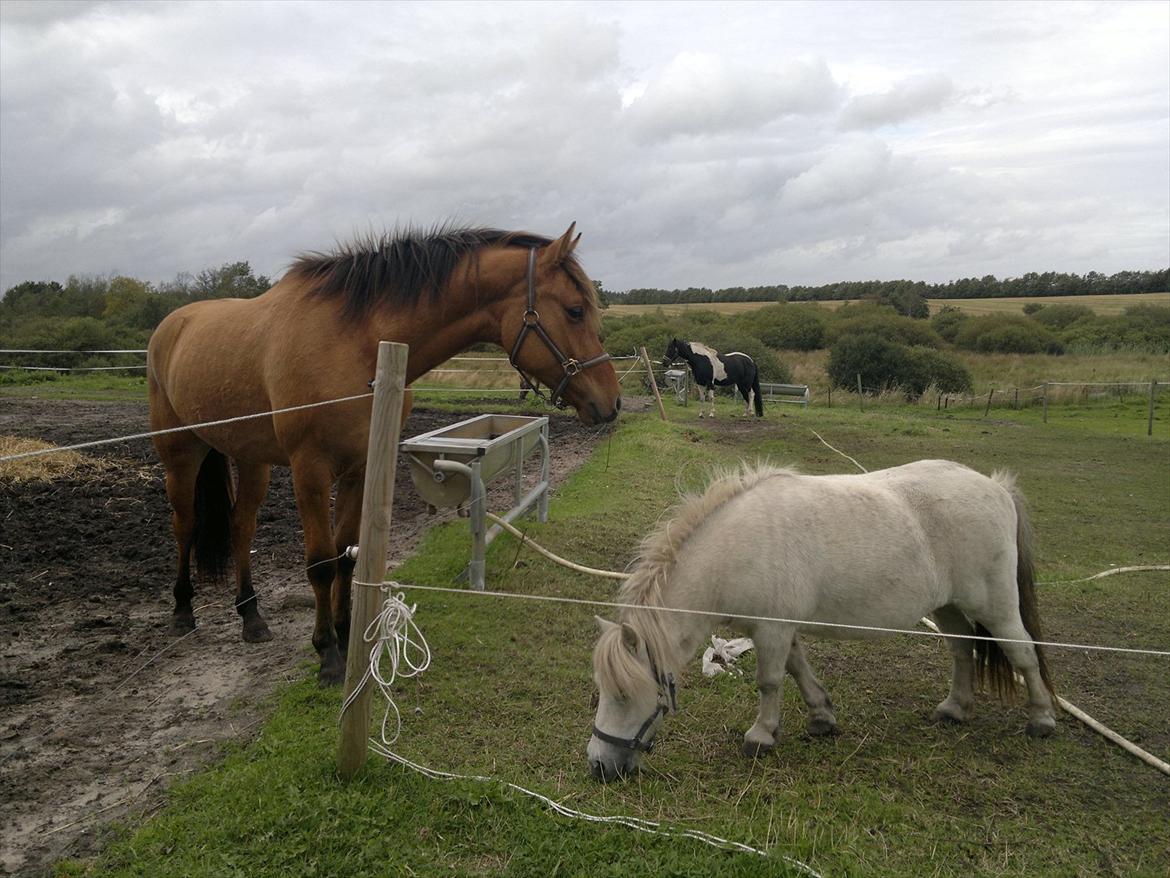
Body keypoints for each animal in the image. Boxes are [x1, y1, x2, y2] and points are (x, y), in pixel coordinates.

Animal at [148, 224, 621, 685]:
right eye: (575, 310)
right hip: (181, 453)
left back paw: (251, 616)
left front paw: (346, 635)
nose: (611, 402)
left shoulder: (359, 467)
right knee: (184, 525)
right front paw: (328, 655)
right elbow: (321, 563)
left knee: (241, 527)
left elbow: (346, 554)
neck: (357, 343)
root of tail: (173, 324)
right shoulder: (310, 469)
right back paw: (182, 611)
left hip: (252, 459)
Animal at [588, 460, 1057, 781]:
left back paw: (1042, 720)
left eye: (625, 695)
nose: (599, 766)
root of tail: (996, 486)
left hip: (995, 607)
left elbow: (770, 682)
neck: (737, 550)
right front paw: (821, 718)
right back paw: (954, 709)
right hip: (950, 608)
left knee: (1023, 653)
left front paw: (761, 736)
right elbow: (798, 670)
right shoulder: (779, 629)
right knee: (962, 652)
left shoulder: (772, 629)